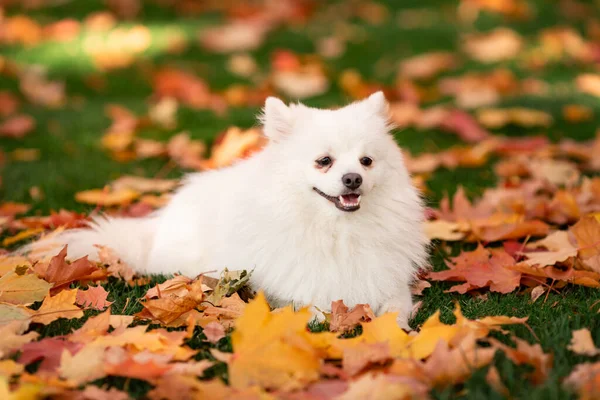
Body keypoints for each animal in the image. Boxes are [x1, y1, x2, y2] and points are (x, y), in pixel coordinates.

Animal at [29, 91, 432, 328]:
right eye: (324, 161)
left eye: (366, 161)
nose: (353, 179)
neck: (338, 232)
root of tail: (155, 229)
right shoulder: (301, 291)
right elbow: (317, 309)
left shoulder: (388, 283)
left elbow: (395, 308)